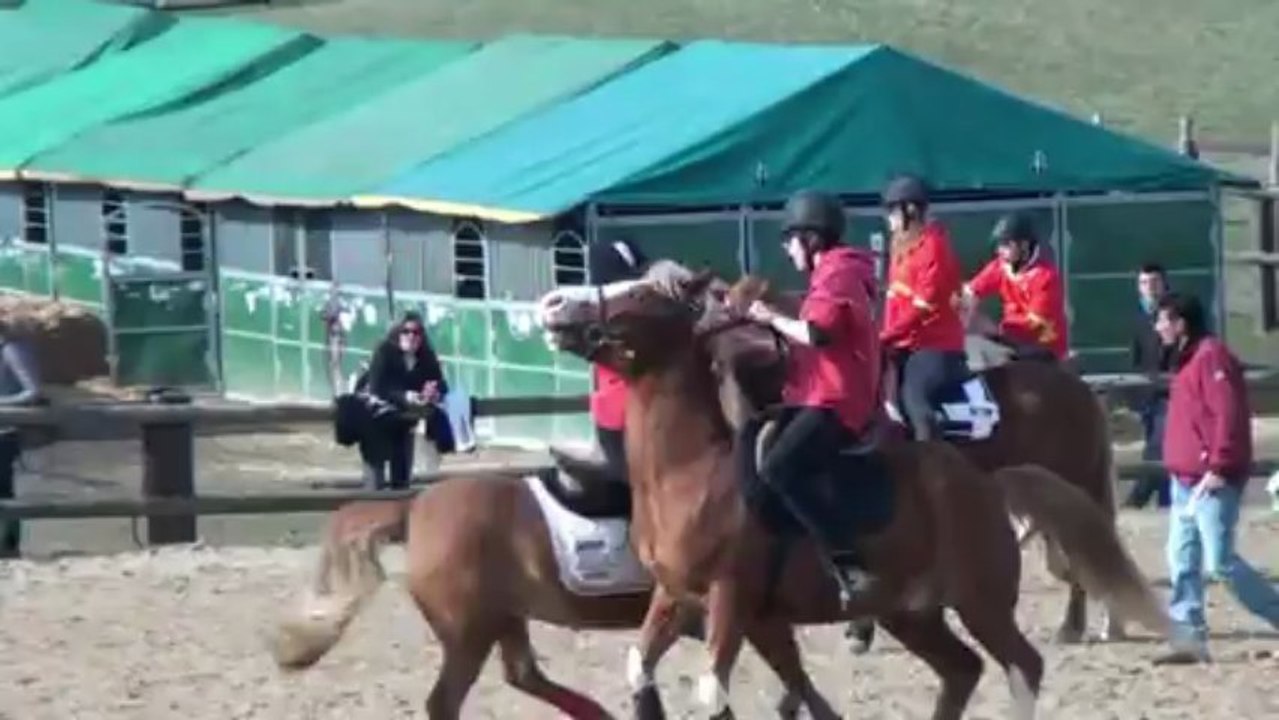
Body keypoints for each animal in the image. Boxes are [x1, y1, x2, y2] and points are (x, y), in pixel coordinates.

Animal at [537, 267, 1169, 719]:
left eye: (640, 293)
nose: (552, 304)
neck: (689, 472)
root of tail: (987, 481)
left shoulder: (730, 599)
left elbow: (714, 691)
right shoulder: (678, 598)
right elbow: (640, 667)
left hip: (982, 601)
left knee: (1024, 665)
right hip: (912, 614)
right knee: (962, 670)